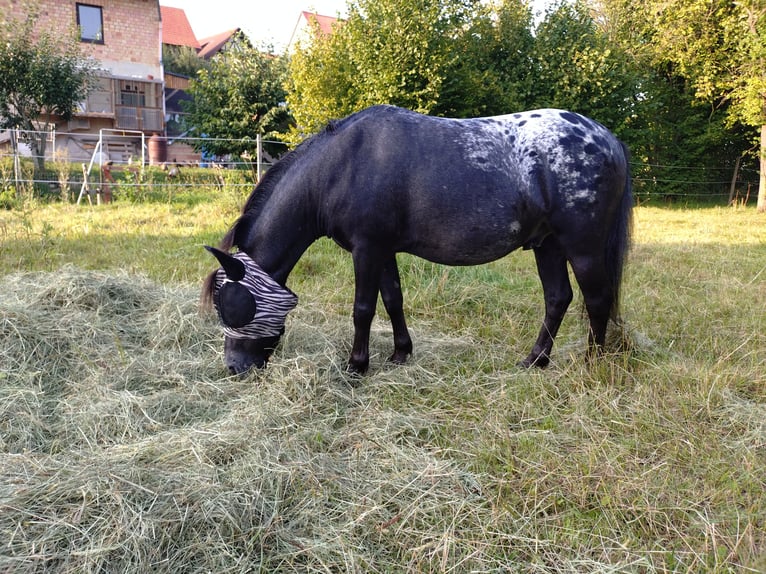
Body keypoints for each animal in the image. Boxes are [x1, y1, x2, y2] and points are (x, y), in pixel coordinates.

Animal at [203, 104, 632, 375]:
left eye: (228, 305)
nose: (234, 368)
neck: (340, 167)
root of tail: (608, 138)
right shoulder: (383, 249)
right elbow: (393, 299)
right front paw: (400, 353)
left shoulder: (367, 249)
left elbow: (363, 308)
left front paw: (357, 366)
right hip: (547, 244)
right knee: (558, 298)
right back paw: (535, 361)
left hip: (582, 247)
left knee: (596, 300)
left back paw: (592, 365)